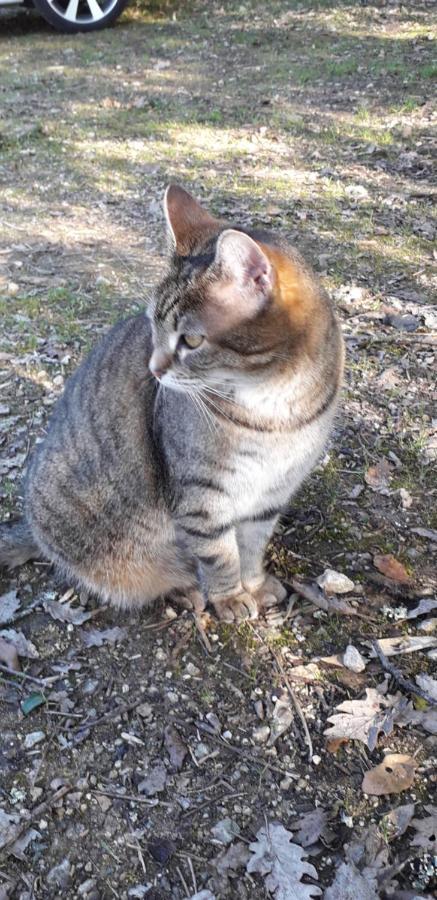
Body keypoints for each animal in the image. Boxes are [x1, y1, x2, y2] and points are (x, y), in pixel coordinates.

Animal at [0, 183, 342, 620]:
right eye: (152, 326)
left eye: (191, 341)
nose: (154, 369)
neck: (277, 407)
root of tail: (30, 524)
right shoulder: (202, 499)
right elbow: (219, 554)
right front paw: (230, 596)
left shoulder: (272, 494)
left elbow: (251, 547)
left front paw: (254, 583)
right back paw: (184, 589)